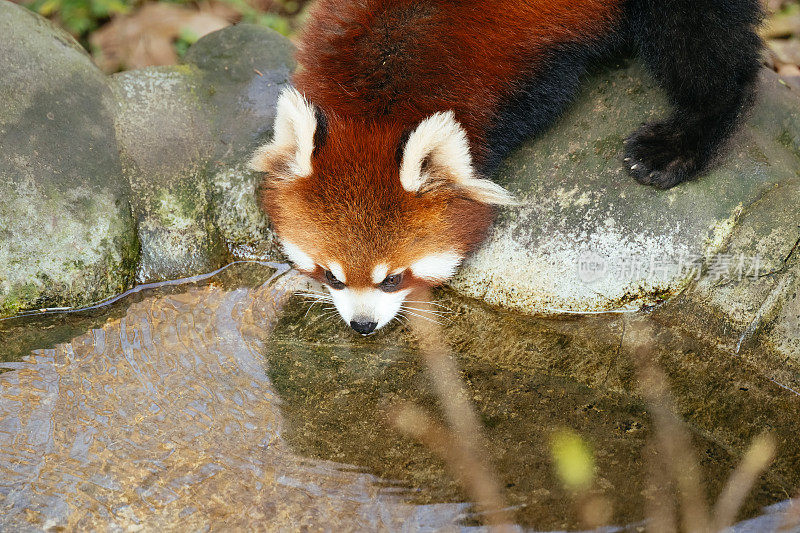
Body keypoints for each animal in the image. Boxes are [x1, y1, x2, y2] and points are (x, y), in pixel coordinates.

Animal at [250, 0, 764, 332]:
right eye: (331, 275)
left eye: (393, 277)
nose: (362, 325)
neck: (378, 98)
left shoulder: (526, 62)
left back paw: (690, 134)